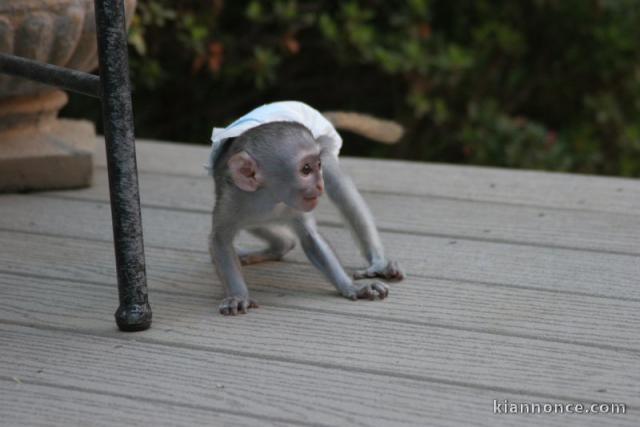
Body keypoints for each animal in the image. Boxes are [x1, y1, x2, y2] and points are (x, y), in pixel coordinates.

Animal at [209, 102, 400, 314]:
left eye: (318, 165)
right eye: (306, 169)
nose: (319, 185)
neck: (270, 196)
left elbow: (311, 239)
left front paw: (352, 287)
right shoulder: (232, 199)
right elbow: (221, 240)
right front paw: (238, 296)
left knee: (340, 188)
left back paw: (378, 262)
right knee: (255, 224)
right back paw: (278, 247)